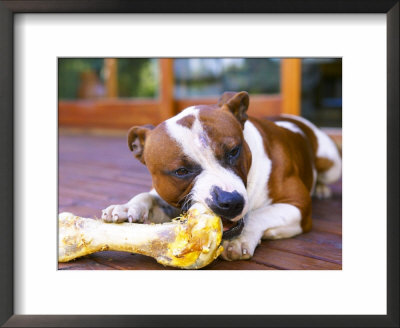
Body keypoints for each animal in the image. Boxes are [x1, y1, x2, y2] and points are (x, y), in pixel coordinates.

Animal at [101, 91, 342, 262]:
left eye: (233, 151)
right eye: (181, 171)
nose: (230, 201)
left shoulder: (299, 206)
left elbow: (260, 214)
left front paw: (242, 238)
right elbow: (148, 196)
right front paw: (126, 207)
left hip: (332, 163)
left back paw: (321, 187)